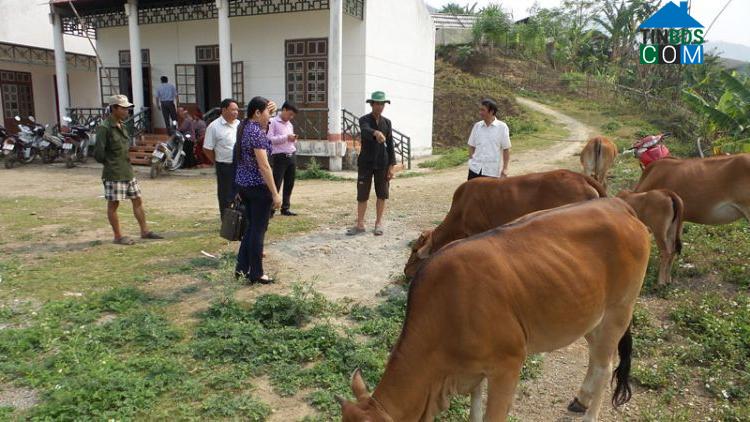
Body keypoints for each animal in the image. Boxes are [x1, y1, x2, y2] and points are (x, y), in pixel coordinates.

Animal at [340, 199, 652, 422]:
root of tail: (618, 204)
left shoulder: (508, 366)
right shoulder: (473, 371)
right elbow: (475, 412)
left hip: (618, 311)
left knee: (604, 366)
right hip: (590, 316)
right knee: (598, 358)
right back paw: (581, 398)